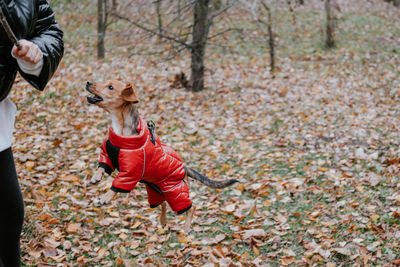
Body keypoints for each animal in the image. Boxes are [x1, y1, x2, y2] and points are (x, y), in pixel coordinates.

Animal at [85, 80, 238, 233]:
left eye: (110, 87)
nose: (88, 82)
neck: (120, 131)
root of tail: (185, 167)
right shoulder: (107, 154)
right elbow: (102, 166)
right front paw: (96, 177)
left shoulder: (130, 173)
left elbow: (116, 185)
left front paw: (105, 198)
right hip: (155, 191)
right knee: (163, 204)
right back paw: (163, 221)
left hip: (175, 191)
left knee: (191, 207)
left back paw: (186, 228)